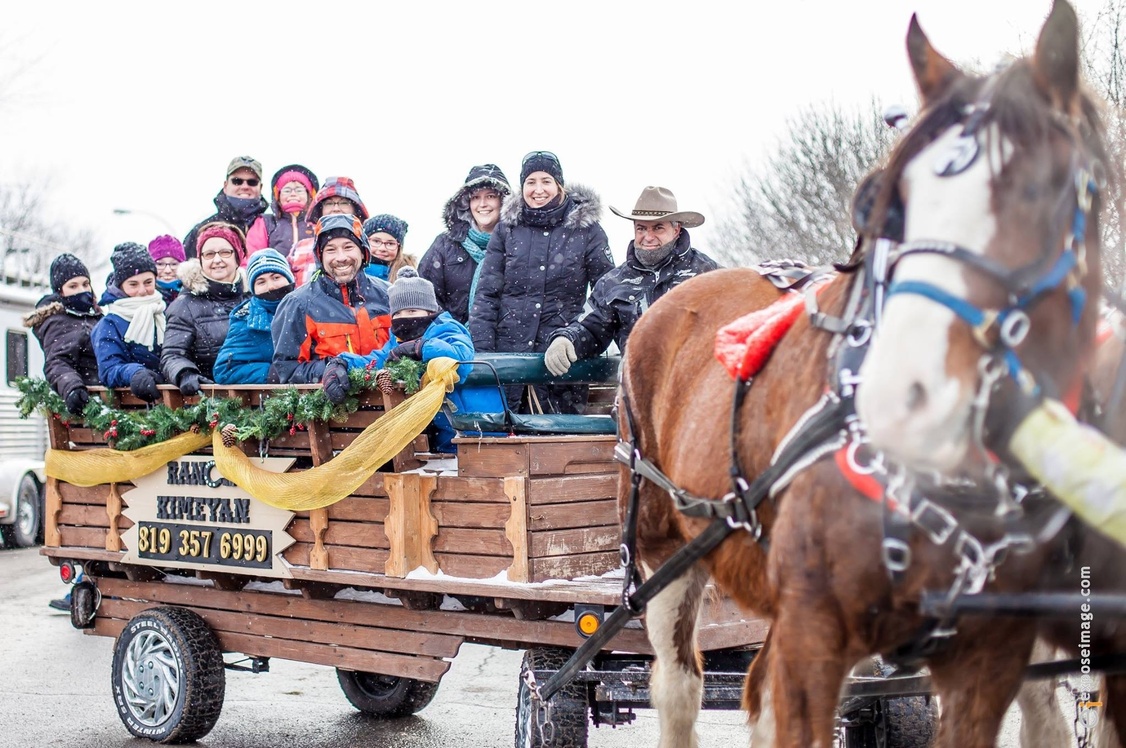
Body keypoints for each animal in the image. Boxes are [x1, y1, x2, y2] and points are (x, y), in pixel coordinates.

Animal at [621, 2, 1112, 743]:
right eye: (892, 201)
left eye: (1047, 188)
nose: (906, 400)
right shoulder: (814, 630)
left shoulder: (986, 655)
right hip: (664, 550)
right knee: (678, 687)